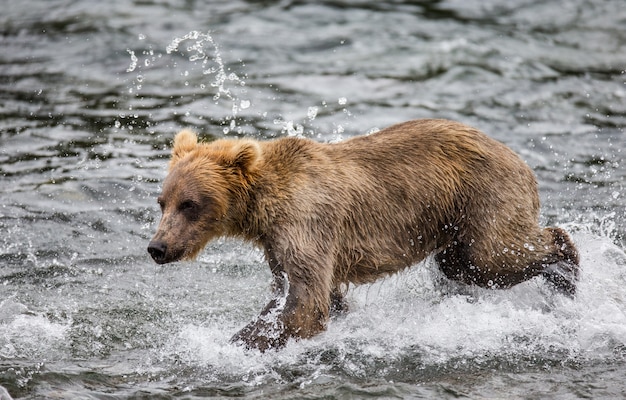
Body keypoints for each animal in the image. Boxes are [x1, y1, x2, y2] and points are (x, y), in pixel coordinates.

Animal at [149, 118, 576, 350]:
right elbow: (299, 293)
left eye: (190, 204)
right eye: (162, 201)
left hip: (485, 195)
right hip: (455, 221)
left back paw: (567, 274)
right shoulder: (278, 243)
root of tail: (520, 159)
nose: (157, 247)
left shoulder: (306, 222)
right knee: (459, 265)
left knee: (495, 257)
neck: (262, 208)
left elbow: (306, 304)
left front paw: (236, 342)